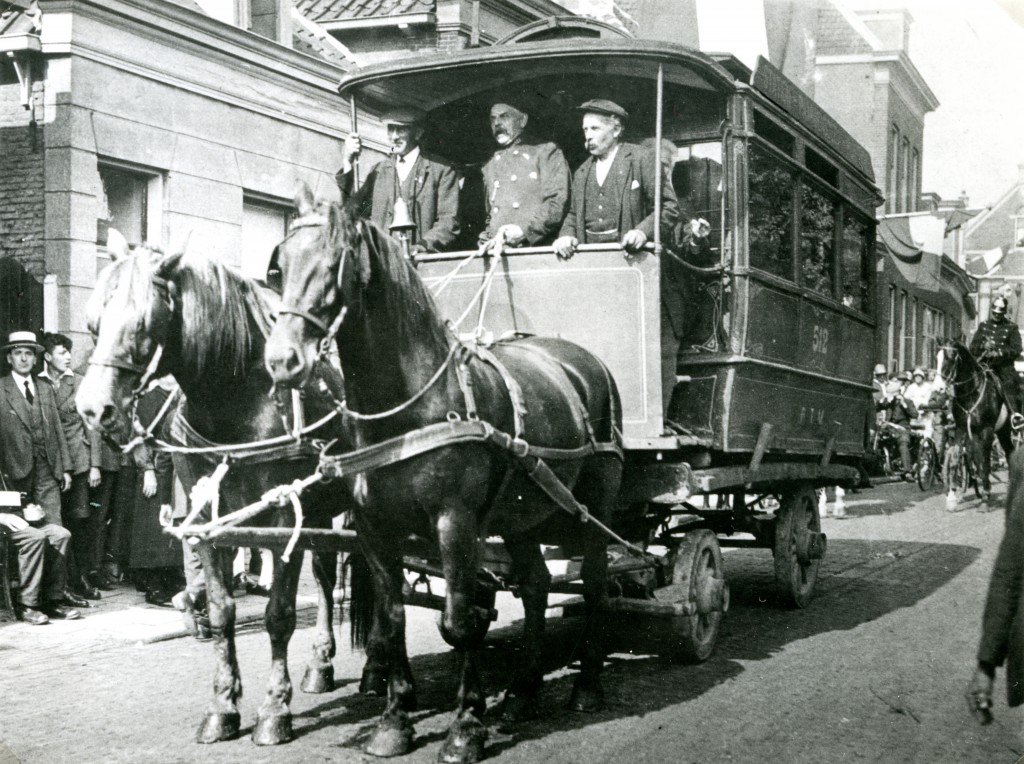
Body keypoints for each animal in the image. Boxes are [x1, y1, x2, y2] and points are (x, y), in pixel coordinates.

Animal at [75, 245, 358, 745]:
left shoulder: (282, 517)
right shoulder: (208, 520)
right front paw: (223, 705)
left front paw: (274, 709)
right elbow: (223, 610)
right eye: (94, 322)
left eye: (143, 322)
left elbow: (279, 614)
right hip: (323, 510)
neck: (237, 399)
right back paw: (321, 663)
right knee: (327, 577)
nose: (92, 409)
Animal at [264, 186, 622, 761]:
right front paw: (393, 721)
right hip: (521, 514)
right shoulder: (374, 528)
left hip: (594, 507)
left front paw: (465, 726)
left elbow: (459, 621)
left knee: (592, 583)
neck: (410, 407)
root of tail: (584, 360)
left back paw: (587, 685)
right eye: (279, 266)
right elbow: (392, 620)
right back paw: (523, 691)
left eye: (335, 260)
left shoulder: (454, 522)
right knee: (537, 584)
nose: (282, 361)